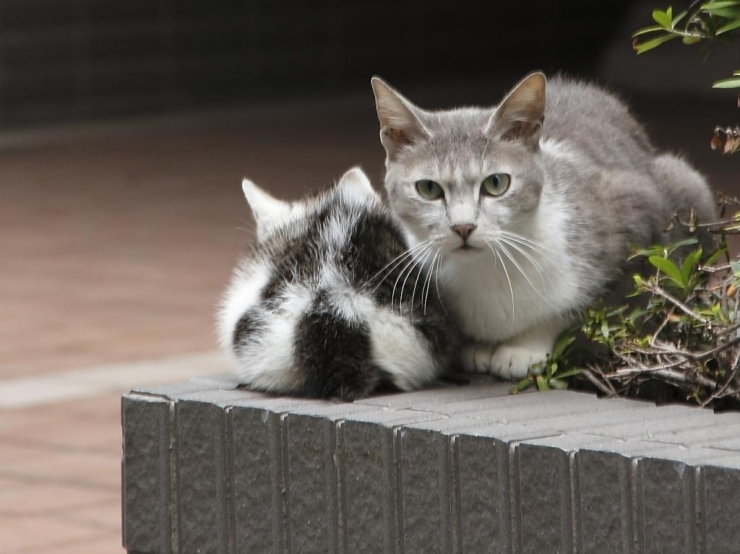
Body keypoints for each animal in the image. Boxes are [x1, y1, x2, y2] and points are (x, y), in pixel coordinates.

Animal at [370, 72, 716, 380]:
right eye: (428, 189)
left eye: (496, 183)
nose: (463, 227)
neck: (486, 272)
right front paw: (478, 347)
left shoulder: (637, 222)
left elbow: (576, 309)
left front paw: (523, 349)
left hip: (686, 184)